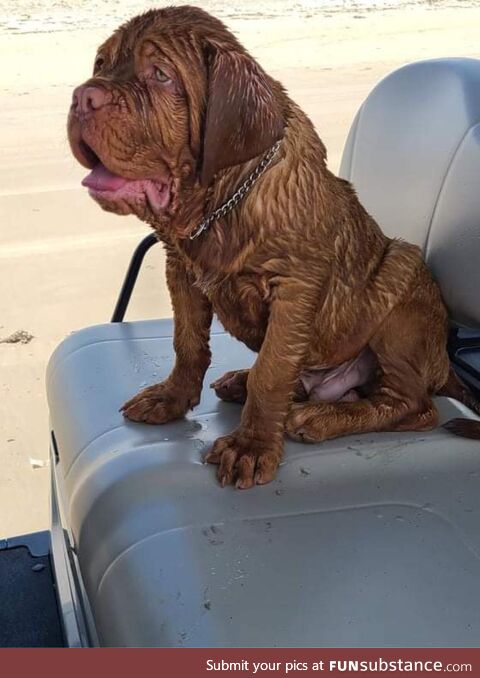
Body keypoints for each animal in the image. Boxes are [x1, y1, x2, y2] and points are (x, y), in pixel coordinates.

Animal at [67, 3, 480, 488]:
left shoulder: (295, 287)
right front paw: (171, 398)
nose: (82, 97)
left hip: (401, 279)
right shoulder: (180, 268)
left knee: (417, 407)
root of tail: (445, 364)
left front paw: (250, 447)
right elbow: (188, 343)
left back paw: (321, 416)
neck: (222, 202)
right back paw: (247, 384)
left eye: (161, 75)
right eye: (100, 65)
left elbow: (274, 367)